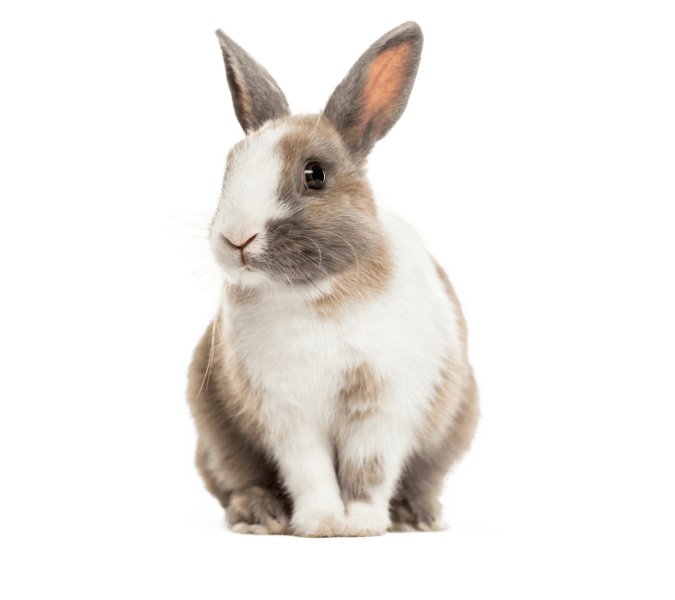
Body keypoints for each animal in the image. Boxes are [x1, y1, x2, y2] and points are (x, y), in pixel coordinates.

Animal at [184, 19, 483, 538]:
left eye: (314, 175)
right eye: (229, 167)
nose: (236, 239)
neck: (316, 296)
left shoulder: (383, 408)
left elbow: (369, 470)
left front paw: (359, 523)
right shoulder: (287, 414)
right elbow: (310, 470)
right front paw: (323, 522)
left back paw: (416, 516)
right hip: (214, 436)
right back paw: (259, 514)